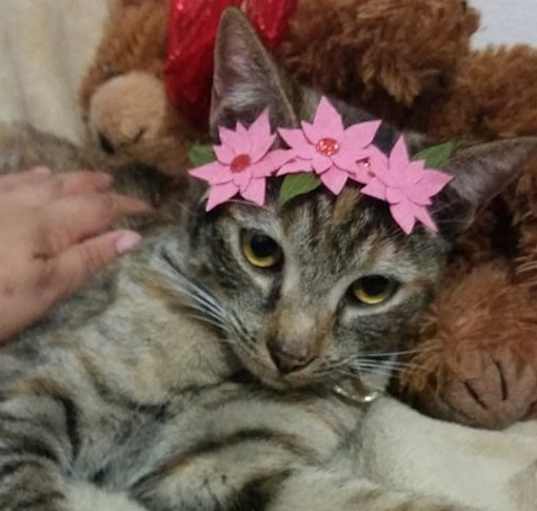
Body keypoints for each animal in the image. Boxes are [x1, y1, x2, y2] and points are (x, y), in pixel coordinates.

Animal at [1, 8, 536, 511]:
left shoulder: (218, 467)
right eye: (261, 251)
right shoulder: (33, 392)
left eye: (372, 290)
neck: (223, 373)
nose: (289, 356)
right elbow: (26, 488)